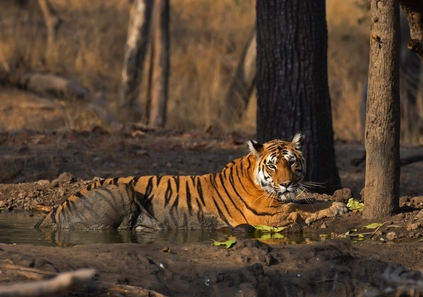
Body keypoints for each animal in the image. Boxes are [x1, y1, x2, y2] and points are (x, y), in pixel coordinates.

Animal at [35, 133, 348, 230]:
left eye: (292, 162)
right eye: (273, 165)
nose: (285, 184)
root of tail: (55, 209)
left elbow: (306, 200)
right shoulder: (267, 215)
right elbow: (304, 209)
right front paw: (338, 206)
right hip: (121, 189)